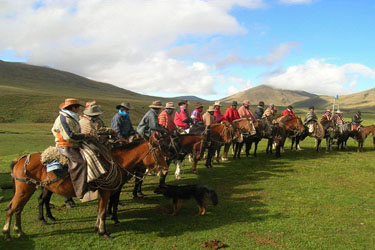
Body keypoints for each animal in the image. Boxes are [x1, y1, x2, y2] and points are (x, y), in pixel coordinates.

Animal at [2, 140, 167, 241]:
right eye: (159, 153)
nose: (165, 170)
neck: (114, 162)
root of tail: (19, 159)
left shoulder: (104, 193)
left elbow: (100, 211)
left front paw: (97, 228)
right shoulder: (106, 192)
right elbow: (103, 212)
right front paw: (104, 232)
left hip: (30, 190)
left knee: (20, 208)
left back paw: (21, 230)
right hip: (24, 190)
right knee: (12, 208)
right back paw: (8, 233)